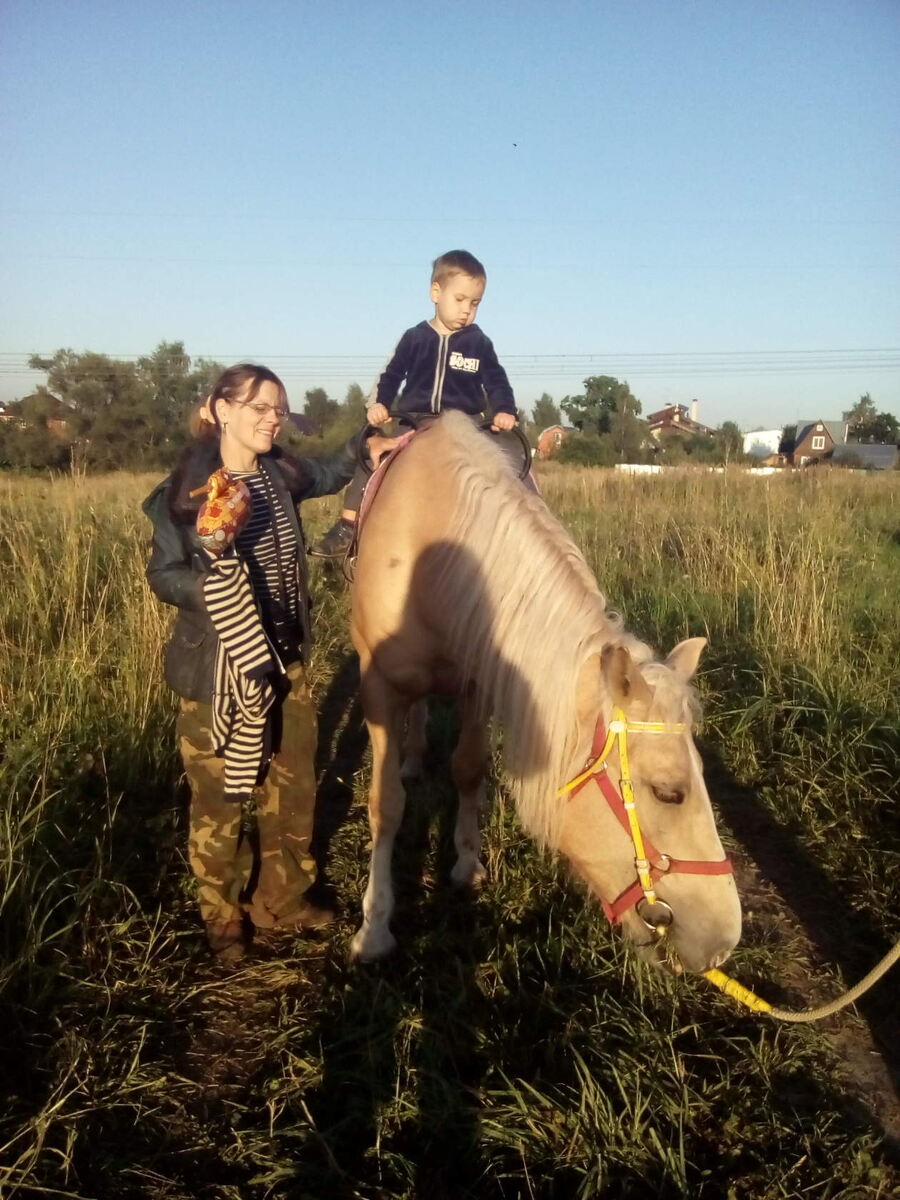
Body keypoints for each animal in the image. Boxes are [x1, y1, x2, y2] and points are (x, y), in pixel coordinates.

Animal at [348, 415, 744, 974]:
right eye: (669, 792)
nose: (724, 941)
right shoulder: (378, 687)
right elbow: (386, 805)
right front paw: (374, 928)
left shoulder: (478, 680)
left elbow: (468, 770)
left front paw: (466, 864)